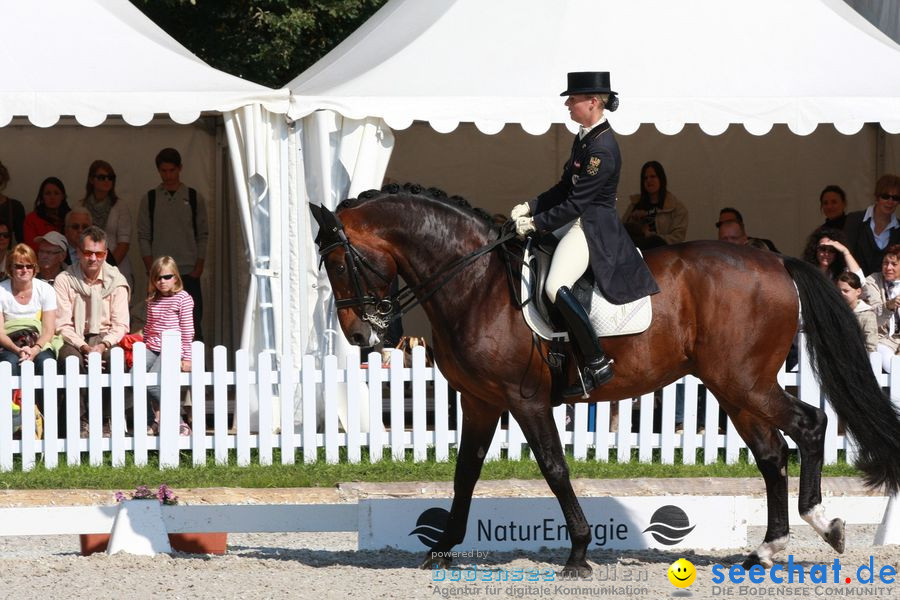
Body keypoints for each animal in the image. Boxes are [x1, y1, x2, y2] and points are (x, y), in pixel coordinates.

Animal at [310, 184, 900, 576]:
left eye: (339, 264)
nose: (362, 335)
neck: (473, 282)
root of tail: (778, 264)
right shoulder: (480, 401)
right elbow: (465, 473)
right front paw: (442, 546)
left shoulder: (525, 399)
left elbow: (554, 468)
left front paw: (577, 552)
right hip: (733, 388)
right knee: (772, 454)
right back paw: (765, 550)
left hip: (745, 382)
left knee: (811, 425)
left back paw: (824, 524)